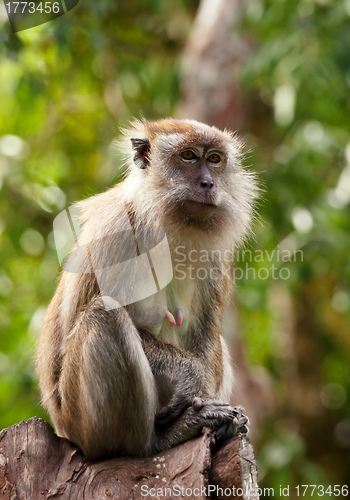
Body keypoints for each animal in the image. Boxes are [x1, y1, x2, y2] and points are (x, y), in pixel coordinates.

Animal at [37, 118, 258, 460]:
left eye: (214, 159)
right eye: (189, 156)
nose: (209, 183)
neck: (169, 227)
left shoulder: (217, 258)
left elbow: (207, 331)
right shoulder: (115, 232)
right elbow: (71, 332)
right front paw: (191, 377)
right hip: (79, 419)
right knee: (104, 315)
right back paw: (156, 441)